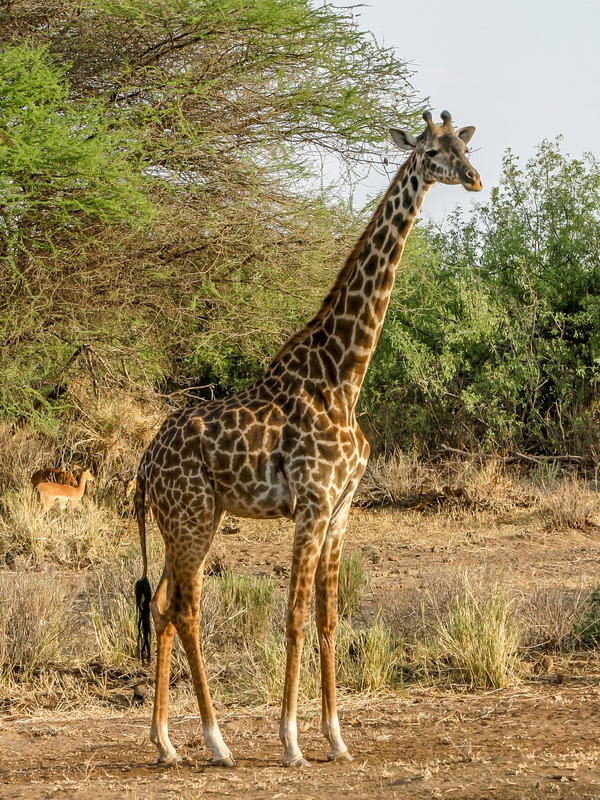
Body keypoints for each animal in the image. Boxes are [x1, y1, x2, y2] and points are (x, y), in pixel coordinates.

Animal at [134, 111, 480, 768]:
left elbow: (328, 619)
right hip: (192, 517)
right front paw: (292, 741)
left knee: (164, 605)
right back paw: (216, 742)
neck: (343, 376)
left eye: (464, 145)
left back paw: (166, 743)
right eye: (430, 150)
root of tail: (143, 465)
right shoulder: (312, 505)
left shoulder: (342, 510)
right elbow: (294, 615)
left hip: (186, 521)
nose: (473, 178)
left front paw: (337, 738)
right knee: (186, 609)